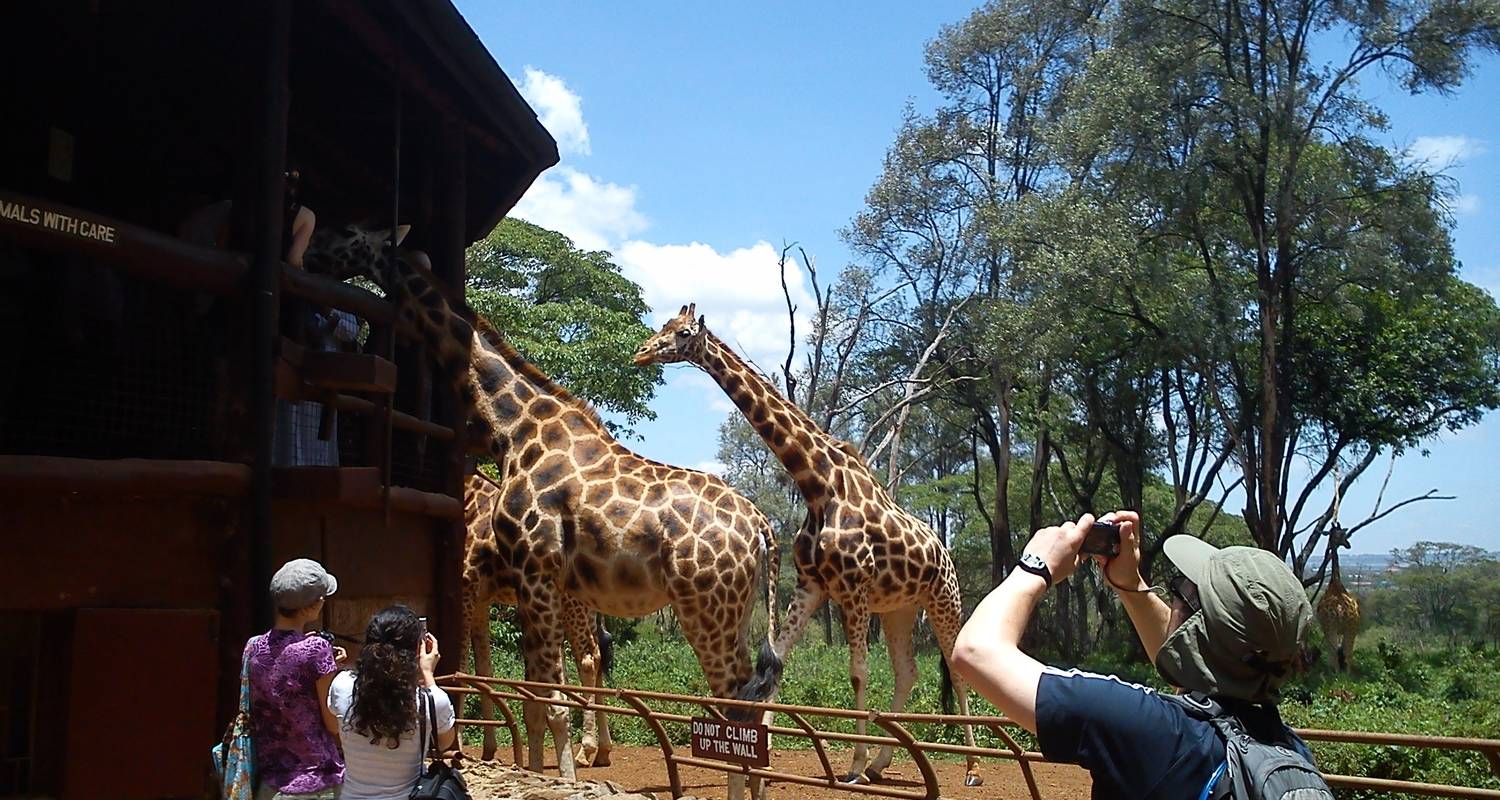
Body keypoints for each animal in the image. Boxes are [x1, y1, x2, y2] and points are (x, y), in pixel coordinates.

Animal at [465, 471, 612, 765]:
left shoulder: (465, 586)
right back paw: (602, 751)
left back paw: (586, 749)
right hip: (584, 605)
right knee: (597, 655)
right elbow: (483, 670)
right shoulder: (480, 600)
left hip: (570, 602)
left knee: (588, 658)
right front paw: (488, 750)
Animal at [639, 306, 990, 786]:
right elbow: (776, 662)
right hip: (899, 609)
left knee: (955, 669)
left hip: (944, 599)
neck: (818, 485)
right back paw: (884, 763)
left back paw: (971, 768)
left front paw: (854, 767)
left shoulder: (853, 588)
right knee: (907, 671)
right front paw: (764, 757)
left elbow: (858, 673)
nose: (641, 352)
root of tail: (945, 550)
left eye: (684, 333)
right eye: (663, 326)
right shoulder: (812, 586)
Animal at [1314, 528, 1362, 669]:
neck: (1335, 584)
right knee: (1346, 653)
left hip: (1336, 628)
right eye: (1342, 534)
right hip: (1348, 628)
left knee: (1338, 652)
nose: (1348, 544)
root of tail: (1340, 608)